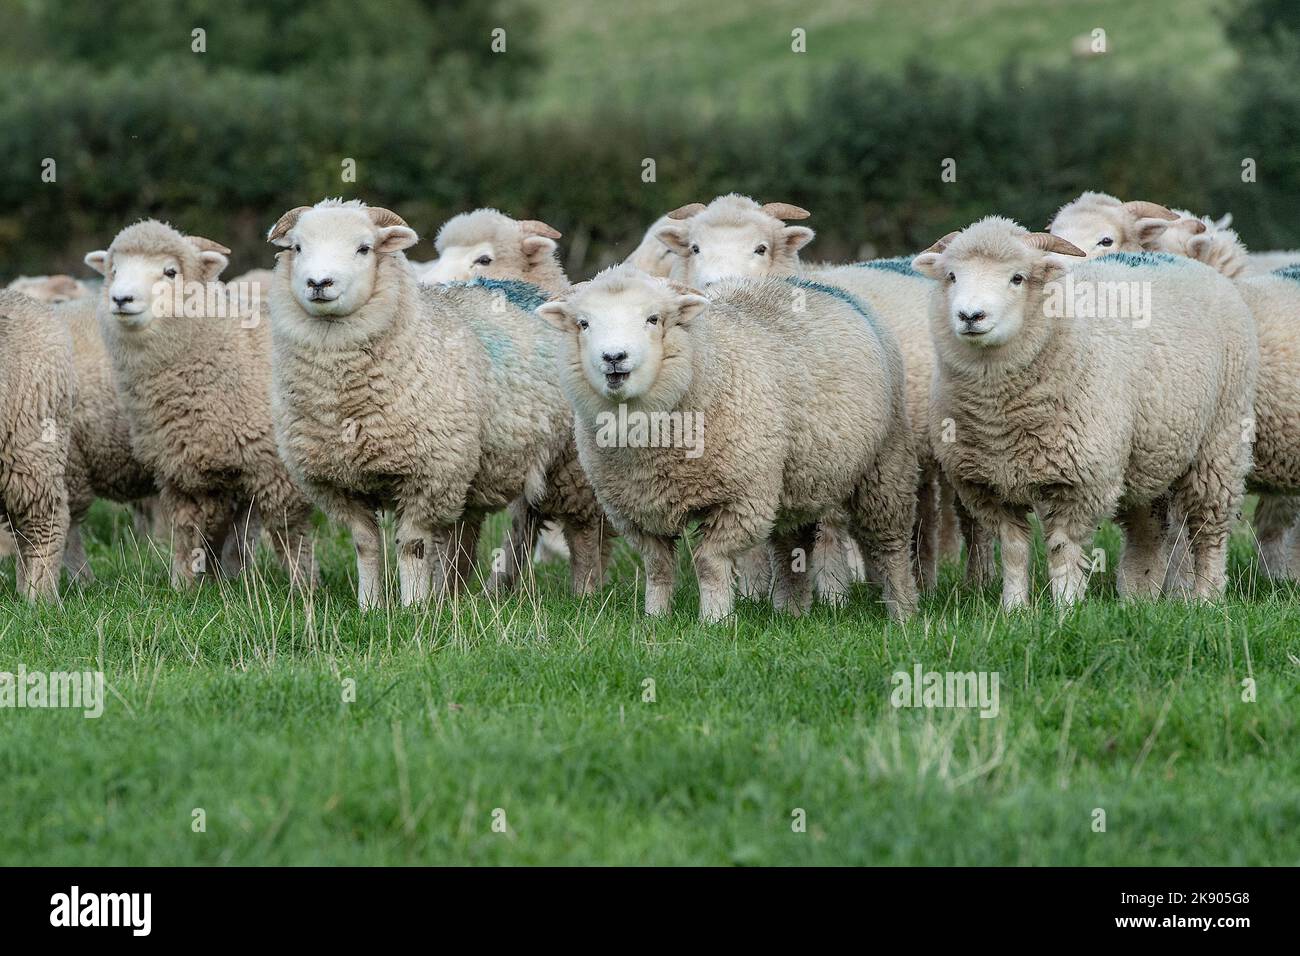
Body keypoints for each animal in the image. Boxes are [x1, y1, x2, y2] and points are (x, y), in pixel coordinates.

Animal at [86, 220, 317, 590]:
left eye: (170, 272)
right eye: (114, 270)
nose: (121, 298)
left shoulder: (276, 469)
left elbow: (289, 534)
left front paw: (304, 587)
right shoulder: (182, 472)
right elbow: (186, 531)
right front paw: (183, 586)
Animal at [536, 264, 919, 623]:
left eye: (653, 318)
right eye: (584, 323)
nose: (614, 358)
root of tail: (813, 282)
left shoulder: (742, 498)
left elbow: (709, 561)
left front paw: (715, 620)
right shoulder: (634, 508)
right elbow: (657, 566)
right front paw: (655, 618)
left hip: (885, 463)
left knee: (891, 543)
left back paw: (903, 611)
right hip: (797, 477)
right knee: (791, 543)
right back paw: (791, 611)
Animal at [654, 193, 981, 593]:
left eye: (761, 248)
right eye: (696, 248)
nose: (717, 283)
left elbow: (828, 526)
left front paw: (833, 592)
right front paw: (753, 591)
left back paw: (976, 580)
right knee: (925, 514)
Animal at [912, 217, 1256, 607]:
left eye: (1017, 277)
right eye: (952, 276)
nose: (971, 316)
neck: (999, 418)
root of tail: (1184, 261)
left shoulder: (1080, 482)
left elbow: (1063, 550)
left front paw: (1065, 608)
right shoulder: (986, 485)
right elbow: (1014, 551)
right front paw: (1013, 609)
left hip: (1220, 440)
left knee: (1209, 528)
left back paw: (1206, 597)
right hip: (1148, 454)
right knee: (1148, 528)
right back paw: (1139, 599)